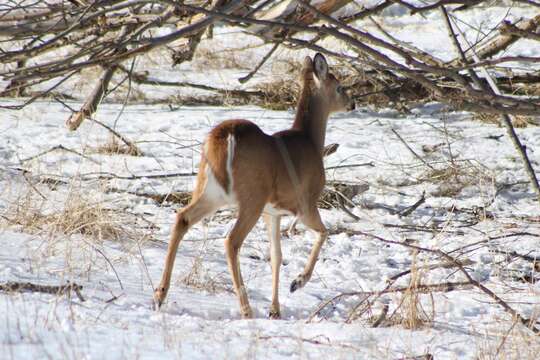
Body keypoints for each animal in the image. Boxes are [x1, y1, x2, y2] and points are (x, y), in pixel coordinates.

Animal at [153, 52, 354, 318]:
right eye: (339, 86)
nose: (353, 104)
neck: (310, 141)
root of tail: (224, 137)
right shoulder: (305, 203)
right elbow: (323, 233)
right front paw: (297, 282)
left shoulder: (273, 212)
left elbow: (276, 256)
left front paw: (275, 310)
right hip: (252, 197)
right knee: (232, 240)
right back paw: (246, 308)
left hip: (210, 190)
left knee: (182, 218)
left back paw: (160, 295)